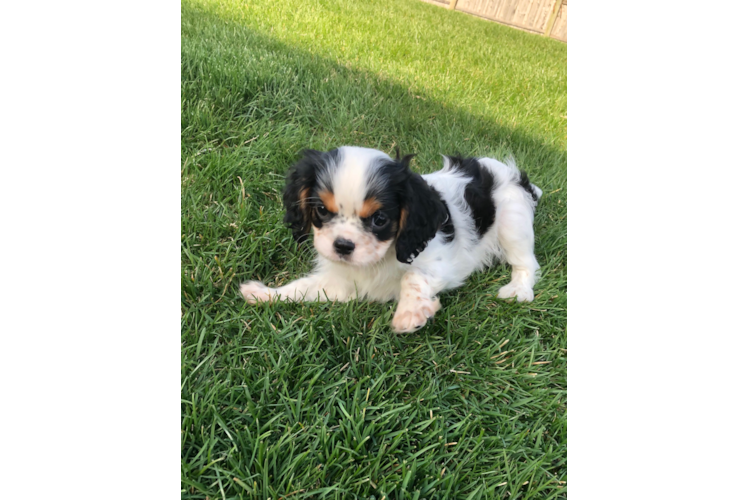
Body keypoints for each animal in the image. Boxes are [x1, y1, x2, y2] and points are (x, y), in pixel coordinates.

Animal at [243, 145, 540, 332]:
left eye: (380, 220)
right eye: (322, 210)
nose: (342, 246)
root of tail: (516, 176)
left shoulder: (445, 265)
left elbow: (413, 276)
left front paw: (409, 313)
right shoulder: (339, 283)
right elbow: (302, 287)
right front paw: (264, 294)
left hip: (513, 222)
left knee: (527, 263)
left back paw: (518, 290)